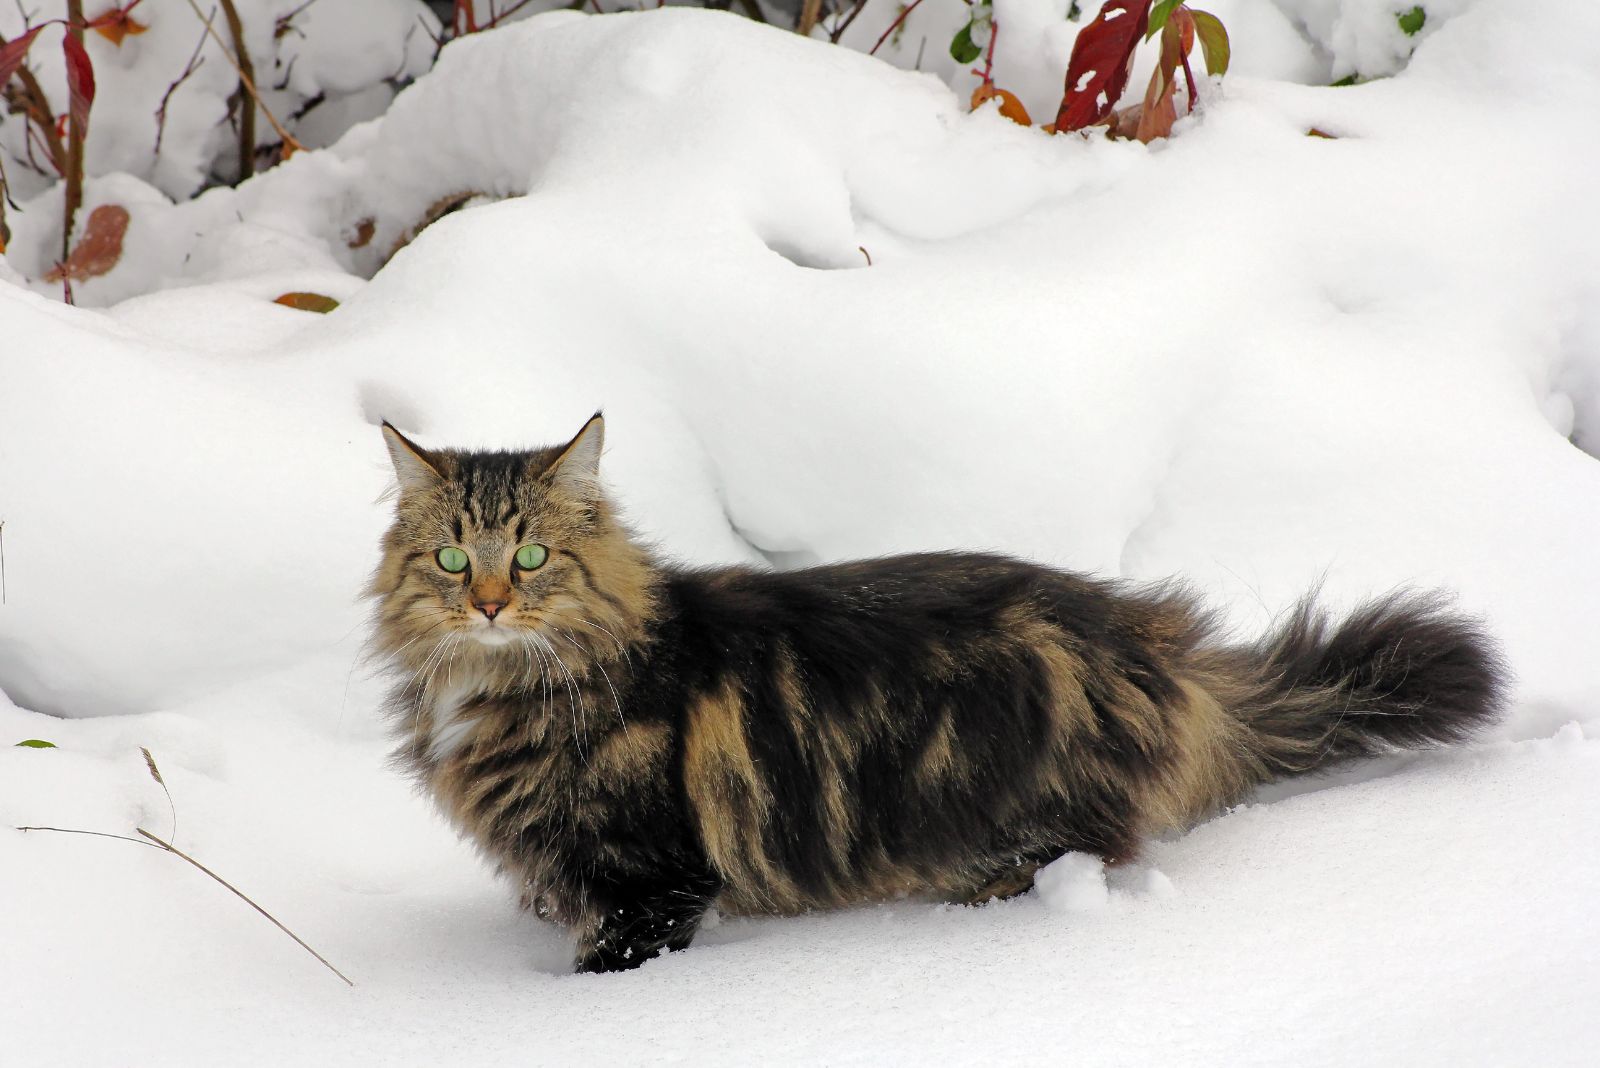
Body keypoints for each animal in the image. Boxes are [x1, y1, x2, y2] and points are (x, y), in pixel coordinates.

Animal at [368, 412, 1504, 972]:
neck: (497, 685)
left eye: (531, 554)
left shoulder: (653, 876)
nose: (489, 605)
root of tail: (1155, 650)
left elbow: (611, 953)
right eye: (451, 559)